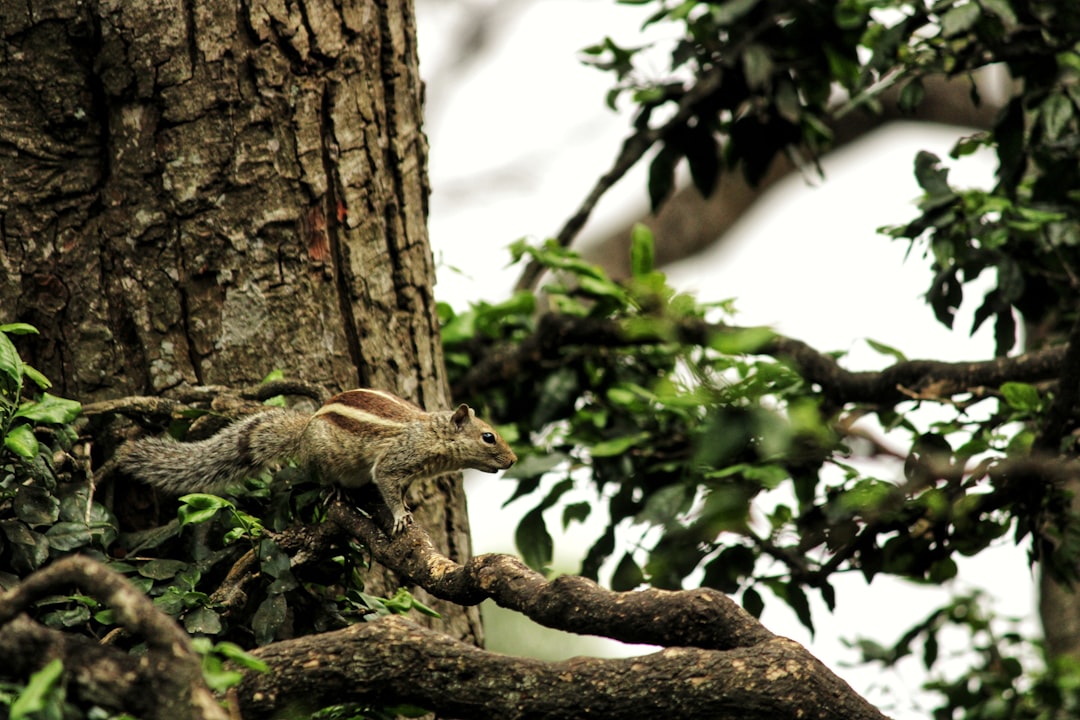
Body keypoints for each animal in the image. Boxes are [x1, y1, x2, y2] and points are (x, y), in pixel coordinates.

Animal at [120, 388, 516, 535]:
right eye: (488, 437)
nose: (512, 460)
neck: (432, 434)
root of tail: (304, 430)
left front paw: (406, 505)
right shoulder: (395, 460)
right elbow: (387, 482)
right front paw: (401, 515)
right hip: (325, 459)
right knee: (325, 478)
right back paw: (337, 493)